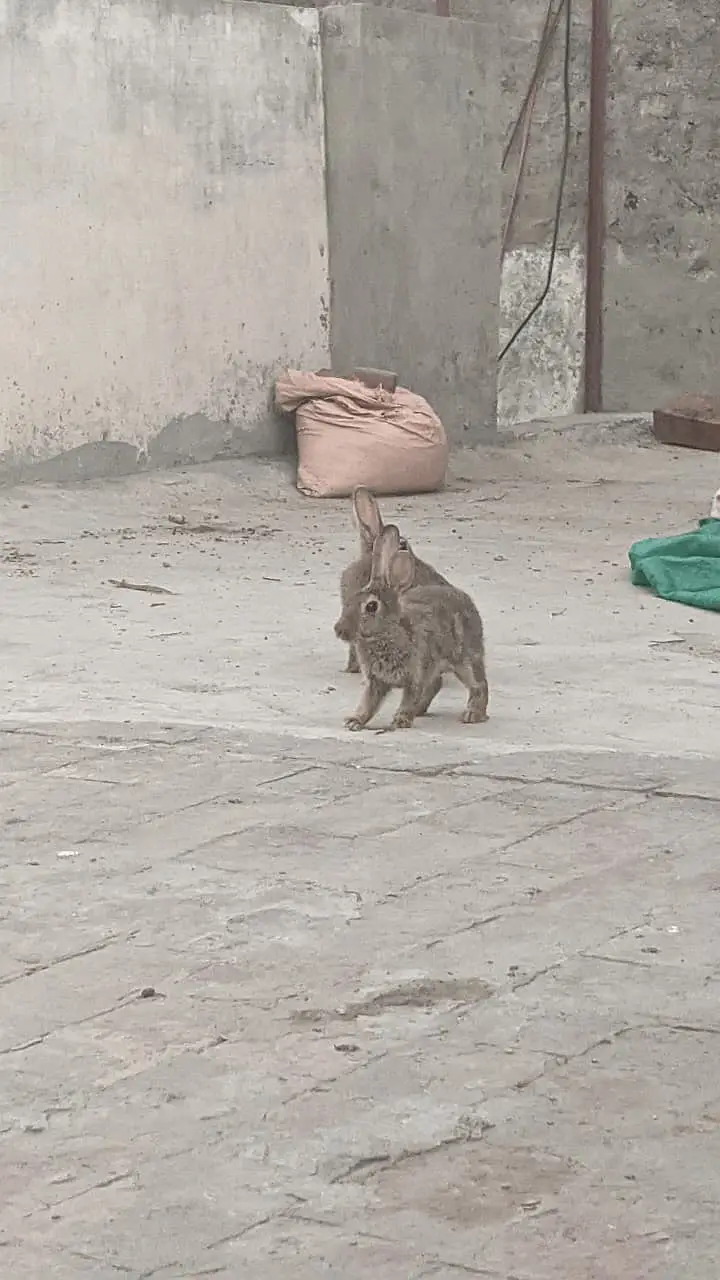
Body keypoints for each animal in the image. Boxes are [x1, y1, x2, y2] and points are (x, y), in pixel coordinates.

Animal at [336, 524, 489, 732]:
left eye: (371, 606)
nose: (339, 630)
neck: (388, 633)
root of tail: (466, 600)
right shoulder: (376, 682)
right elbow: (369, 703)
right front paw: (354, 720)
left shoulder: (415, 674)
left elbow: (409, 698)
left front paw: (400, 721)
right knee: (436, 684)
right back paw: (420, 711)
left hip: (465, 659)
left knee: (478, 684)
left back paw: (473, 714)